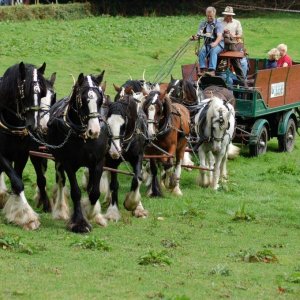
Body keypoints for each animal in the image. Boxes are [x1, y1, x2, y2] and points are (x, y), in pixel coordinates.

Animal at [0, 61, 47, 230]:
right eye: (24, 92)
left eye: (42, 93)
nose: (34, 125)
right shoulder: (1, 155)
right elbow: (17, 182)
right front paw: (27, 215)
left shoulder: (22, 155)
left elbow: (17, 180)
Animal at [47, 71, 108, 233]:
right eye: (83, 100)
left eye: (100, 100)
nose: (94, 131)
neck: (82, 136)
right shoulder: (68, 163)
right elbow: (75, 192)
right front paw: (79, 222)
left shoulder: (99, 162)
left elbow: (94, 193)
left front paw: (91, 213)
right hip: (59, 161)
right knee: (61, 180)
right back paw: (61, 210)